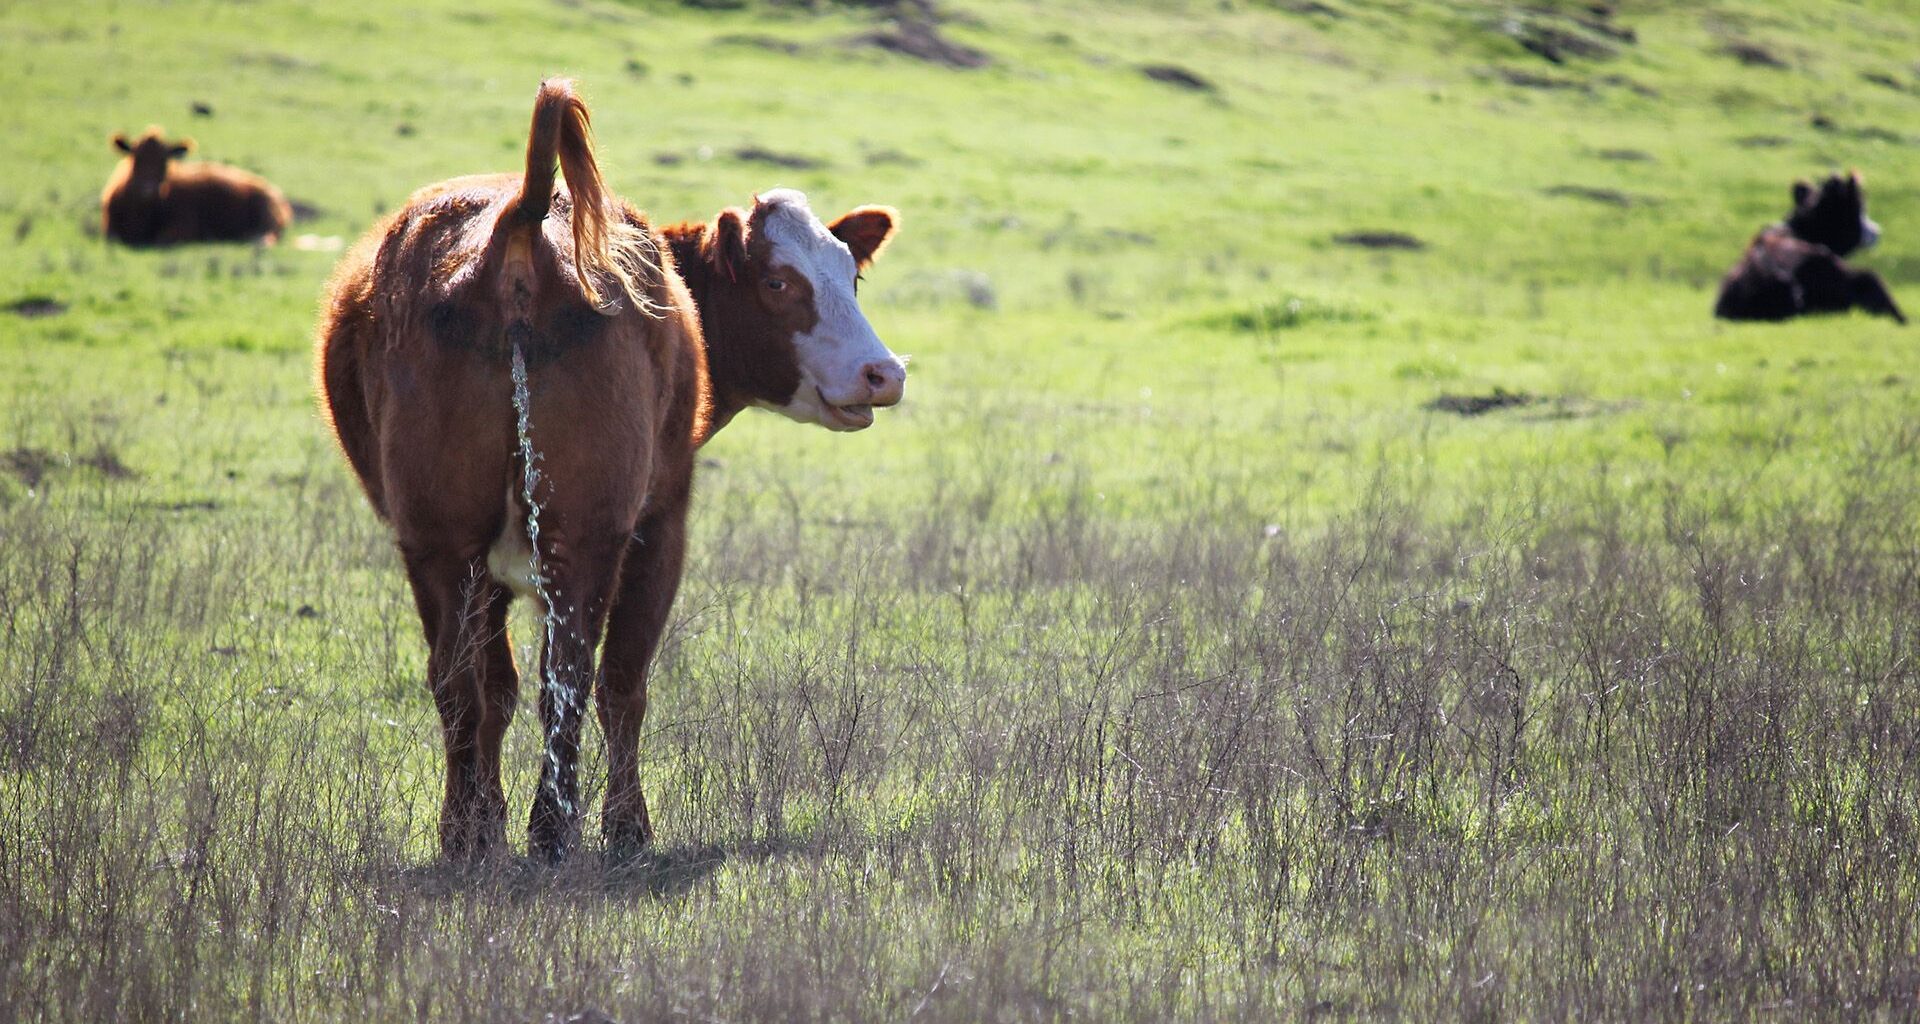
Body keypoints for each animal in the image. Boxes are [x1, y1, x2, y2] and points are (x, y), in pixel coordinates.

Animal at [316, 79, 905, 863]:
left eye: (852, 274)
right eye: (780, 283)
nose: (883, 373)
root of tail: (520, 224)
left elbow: (495, 690)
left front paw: (490, 819)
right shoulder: (661, 522)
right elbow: (624, 680)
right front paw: (628, 828)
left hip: (439, 537)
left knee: (461, 683)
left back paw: (467, 834)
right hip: (584, 531)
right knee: (569, 678)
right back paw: (553, 830)